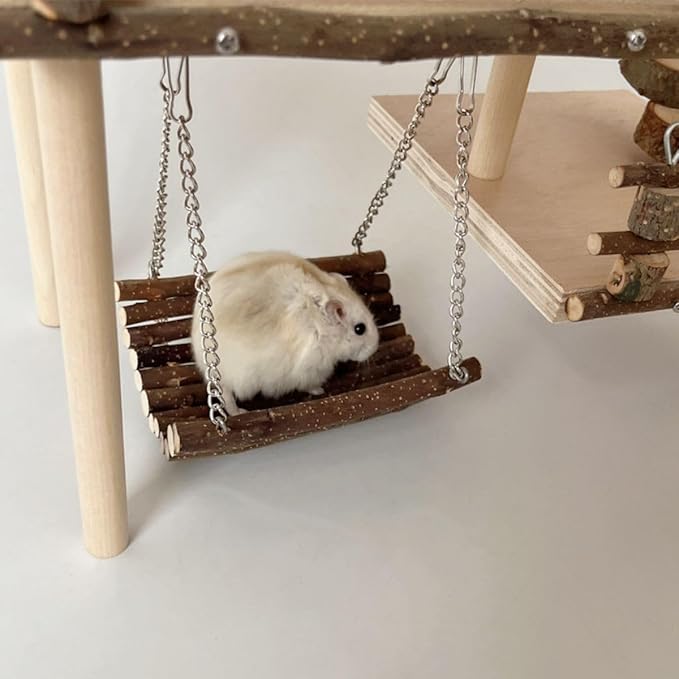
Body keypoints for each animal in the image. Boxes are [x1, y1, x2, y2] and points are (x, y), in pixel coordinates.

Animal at [191, 251, 380, 415]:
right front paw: (320, 390)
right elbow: (310, 384)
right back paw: (240, 412)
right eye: (360, 329)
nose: (375, 348)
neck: (321, 326)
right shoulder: (310, 369)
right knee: (226, 395)